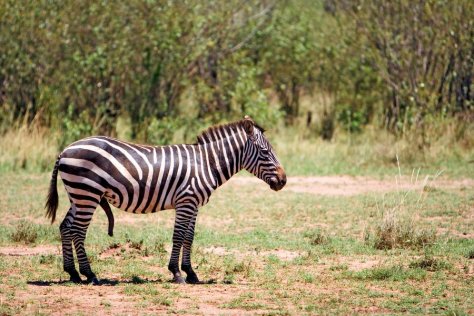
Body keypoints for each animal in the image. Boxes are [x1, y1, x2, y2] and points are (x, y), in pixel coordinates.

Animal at [46, 116, 286, 284]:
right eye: (265, 152)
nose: (283, 181)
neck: (207, 163)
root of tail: (65, 150)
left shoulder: (193, 204)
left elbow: (189, 237)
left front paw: (191, 273)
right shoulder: (186, 201)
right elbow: (179, 236)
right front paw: (177, 273)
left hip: (78, 195)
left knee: (66, 227)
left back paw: (73, 273)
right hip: (87, 193)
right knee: (78, 231)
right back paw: (90, 275)